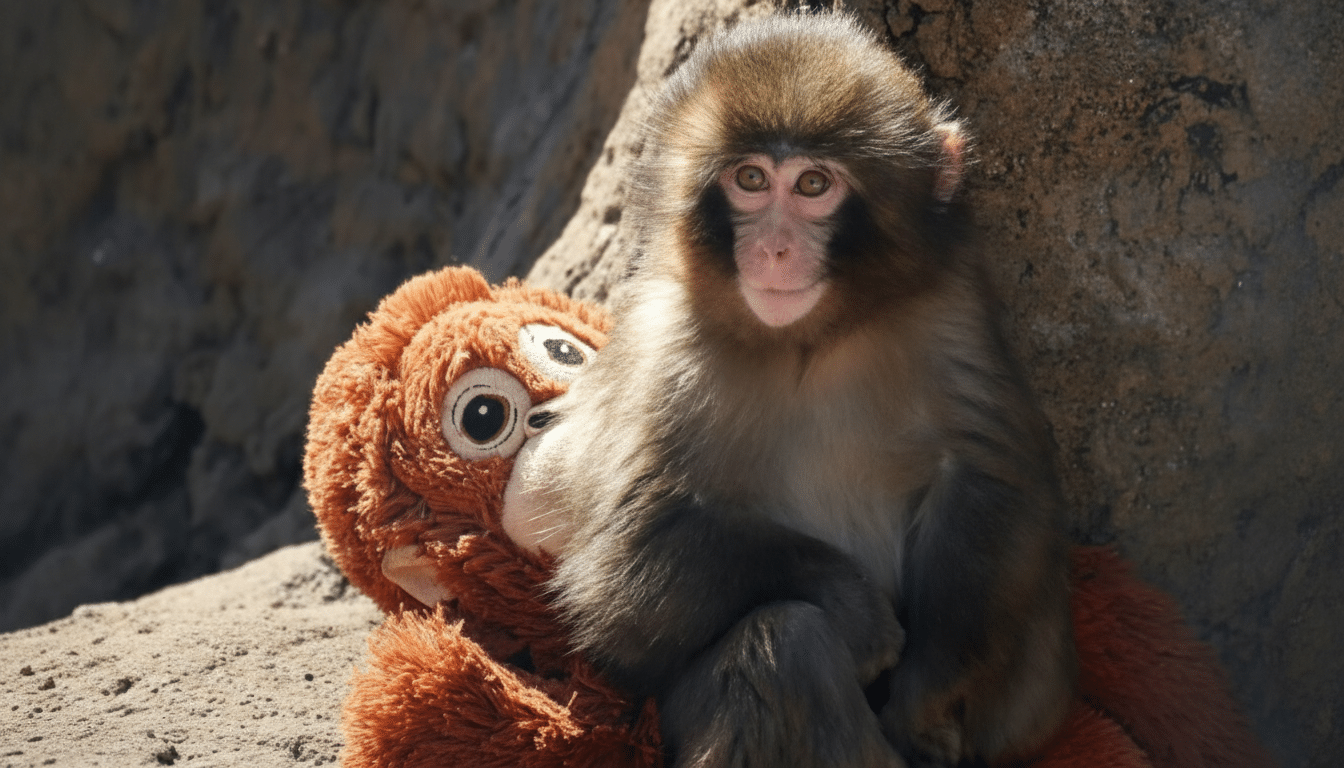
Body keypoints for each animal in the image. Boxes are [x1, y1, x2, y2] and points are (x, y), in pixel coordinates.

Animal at [517, 12, 1077, 768]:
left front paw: (929, 694)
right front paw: (854, 609)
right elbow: (624, 565)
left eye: (813, 185)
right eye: (751, 179)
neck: (810, 341)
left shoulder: (948, 308)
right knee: (784, 644)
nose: (775, 249)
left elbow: (989, 480)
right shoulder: (665, 346)